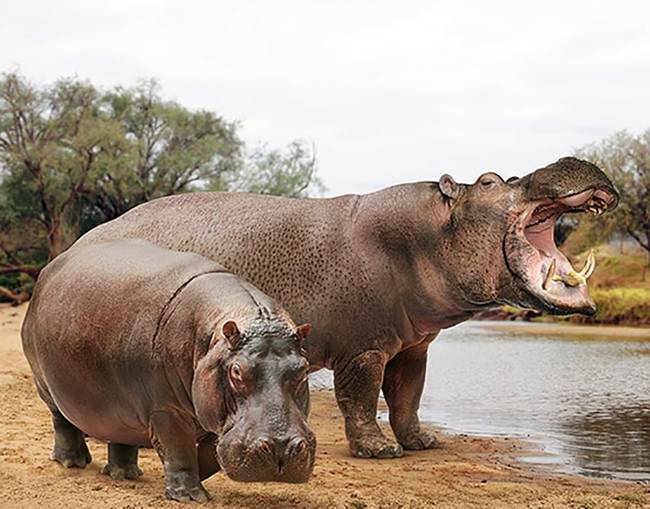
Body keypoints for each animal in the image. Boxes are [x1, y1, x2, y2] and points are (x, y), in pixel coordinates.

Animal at [21, 239, 315, 502]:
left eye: (303, 370)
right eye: (236, 372)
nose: (280, 447)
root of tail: (49, 268)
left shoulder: (212, 414)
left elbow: (209, 454)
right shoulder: (167, 410)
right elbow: (179, 449)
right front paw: (189, 497)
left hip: (121, 404)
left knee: (121, 434)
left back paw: (125, 474)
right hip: (45, 386)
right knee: (62, 421)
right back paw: (72, 463)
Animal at [76, 157, 618, 459]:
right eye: (488, 180)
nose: (573, 157)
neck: (426, 235)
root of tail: (83, 239)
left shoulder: (412, 347)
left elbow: (407, 397)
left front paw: (421, 444)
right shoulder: (363, 348)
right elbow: (360, 399)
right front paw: (380, 452)